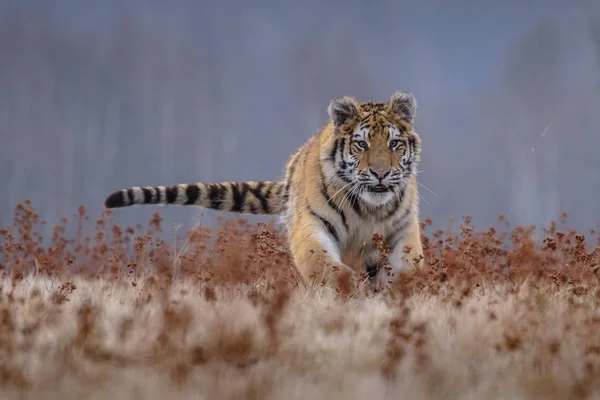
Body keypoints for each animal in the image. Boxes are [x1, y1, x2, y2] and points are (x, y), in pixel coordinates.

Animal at [104, 90, 422, 294]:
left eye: (394, 144)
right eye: (361, 144)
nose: (380, 173)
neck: (368, 208)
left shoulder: (403, 229)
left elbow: (410, 264)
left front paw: (409, 290)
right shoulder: (312, 223)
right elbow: (320, 260)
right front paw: (346, 284)